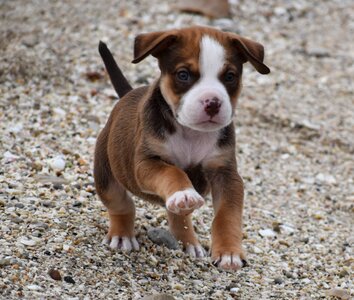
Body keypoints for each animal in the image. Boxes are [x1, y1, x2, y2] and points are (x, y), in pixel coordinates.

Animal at [92, 24, 270, 270]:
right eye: (183, 75)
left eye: (230, 77)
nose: (213, 103)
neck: (191, 133)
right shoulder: (146, 163)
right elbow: (172, 172)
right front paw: (184, 191)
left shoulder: (226, 173)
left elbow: (227, 215)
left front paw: (229, 252)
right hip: (106, 172)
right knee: (121, 205)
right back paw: (122, 236)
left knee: (178, 214)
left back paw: (188, 242)